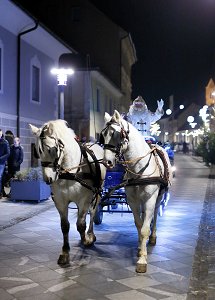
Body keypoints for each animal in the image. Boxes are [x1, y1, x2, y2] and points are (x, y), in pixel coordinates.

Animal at [29, 120, 106, 266]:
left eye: (52, 149)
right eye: (37, 151)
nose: (48, 179)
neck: (71, 172)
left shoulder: (85, 199)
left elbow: (80, 225)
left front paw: (86, 240)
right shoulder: (60, 201)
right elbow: (65, 226)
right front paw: (65, 253)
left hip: (97, 193)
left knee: (93, 212)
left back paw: (90, 234)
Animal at [101, 109, 173, 272]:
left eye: (116, 134)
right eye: (103, 135)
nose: (107, 162)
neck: (139, 169)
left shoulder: (150, 199)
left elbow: (145, 228)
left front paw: (142, 260)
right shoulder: (133, 201)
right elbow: (139, 225)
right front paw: (140, 249)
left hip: (158, 197)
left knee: (154, 214)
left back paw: (152, 237)